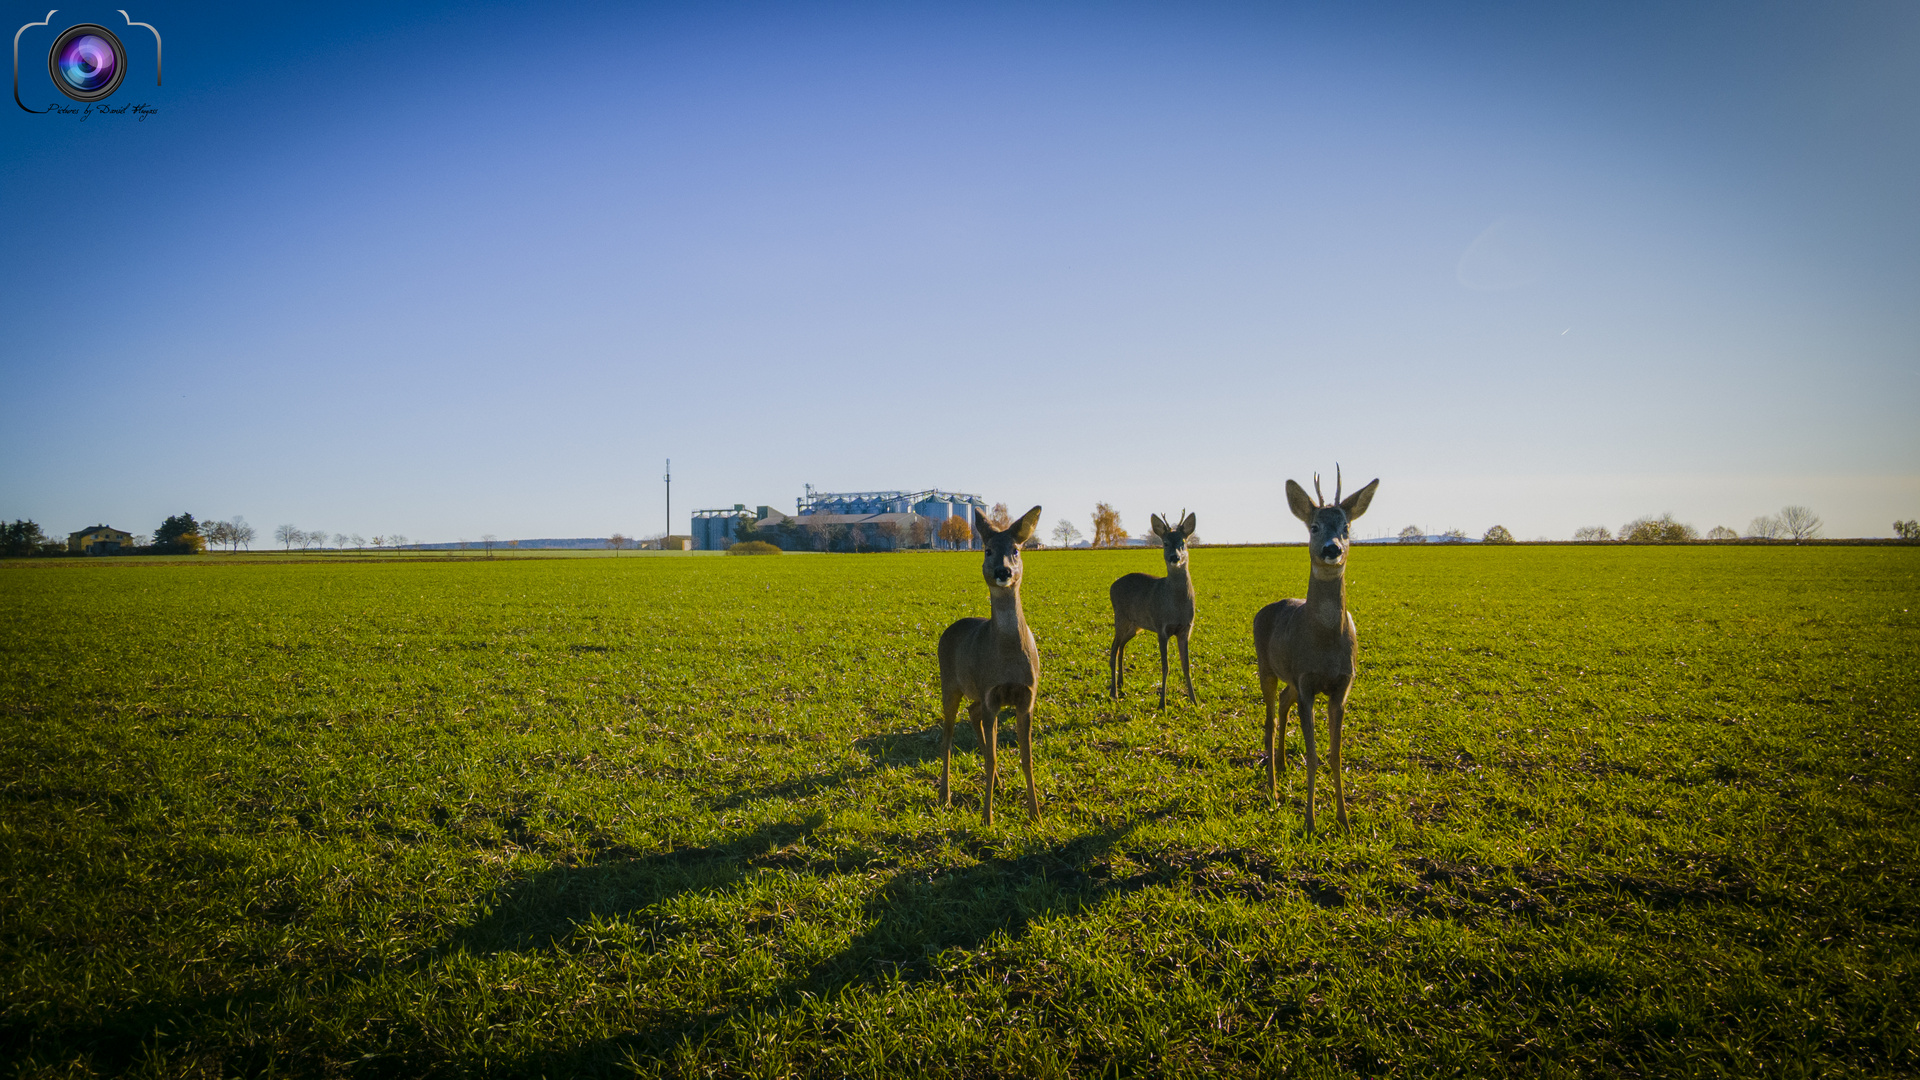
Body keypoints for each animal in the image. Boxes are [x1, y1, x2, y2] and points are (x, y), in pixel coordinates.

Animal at [936, 499, 1044, 818]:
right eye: (987, 550)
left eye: (1016, 550)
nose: (1003, 571)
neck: (1007, 658)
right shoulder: (990, 694)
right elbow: (993, 757)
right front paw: (987, 818)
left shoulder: (1026, 697)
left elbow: (1026, 759)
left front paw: (1036, 815)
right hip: (949, 684)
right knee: (946, 738)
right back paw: (945, 795)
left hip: (974, 692)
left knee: (971, 713)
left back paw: (996, 784)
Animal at [1113, 511, 1198, 707]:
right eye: (1165, 543)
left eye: (1183, 542)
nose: (1175, 557)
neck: (1176, 606)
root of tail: (1112, 585)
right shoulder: (1162, 627)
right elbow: (1165, 666)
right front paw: (1162, 704)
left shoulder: (1186, 629)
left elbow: (1186, 666)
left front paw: (1195, 701)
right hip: (1120, 617)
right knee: (1113, 648)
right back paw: (1114, 692)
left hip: (1136, 626)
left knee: (1121, 646)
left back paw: (1121, 684)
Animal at [1251, 465, 1374, 834]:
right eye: (1314, 526)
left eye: (1347, 527)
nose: (1332, 549)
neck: (1324, 644)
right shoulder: (1307, 684)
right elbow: (1314, 754)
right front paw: (1309, 822)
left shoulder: (1341, 686)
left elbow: (1334, 755)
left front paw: (1344, 821)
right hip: (1266, 667)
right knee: (1269, 720)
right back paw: (1274, 789)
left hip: (1290, 677)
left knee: (1282, 702)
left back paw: (1280, 764)